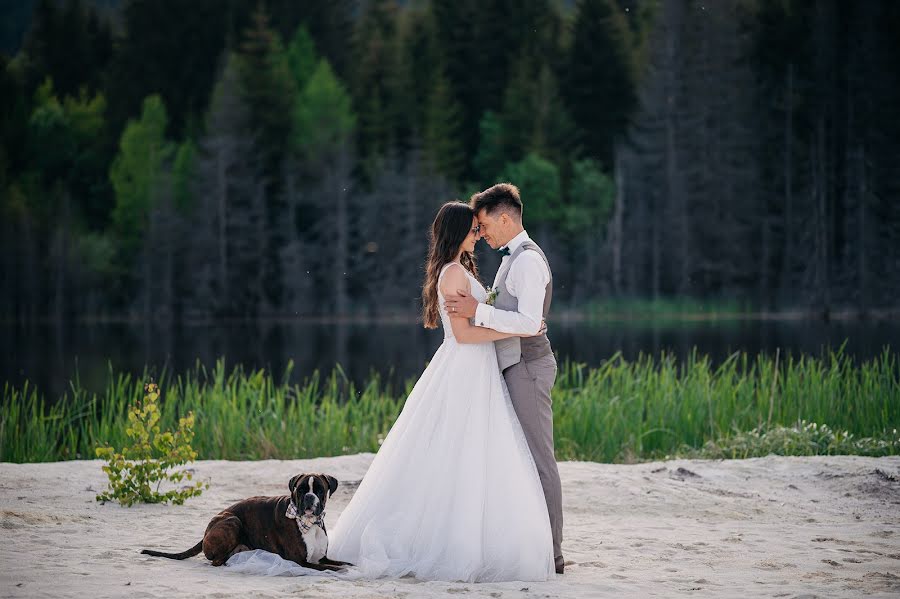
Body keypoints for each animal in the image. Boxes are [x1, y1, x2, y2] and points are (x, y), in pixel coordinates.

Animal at [142, 474, 352, 572]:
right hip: (233, 520)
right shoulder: (301, 561)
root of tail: (205, 532)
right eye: (300, 490)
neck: (310, 523)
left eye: (319, 490)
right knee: (216, 561)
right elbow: (333, 567)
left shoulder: (321, 558)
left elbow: (344, 562)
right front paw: (342, 570)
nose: (309, 497)